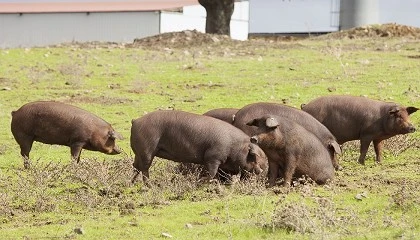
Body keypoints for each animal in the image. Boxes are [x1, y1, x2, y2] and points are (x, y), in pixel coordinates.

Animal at [130, 109, 270, 183]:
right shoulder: (213, 157)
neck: (235, 147)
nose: (263, 170)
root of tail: (136, 121)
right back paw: (149, 185)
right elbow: (212, 172)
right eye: (255, 158)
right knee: (144, 169)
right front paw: (205, 182)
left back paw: (131, 183)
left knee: (135, 167)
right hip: (146, 150)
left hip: (138, 152)